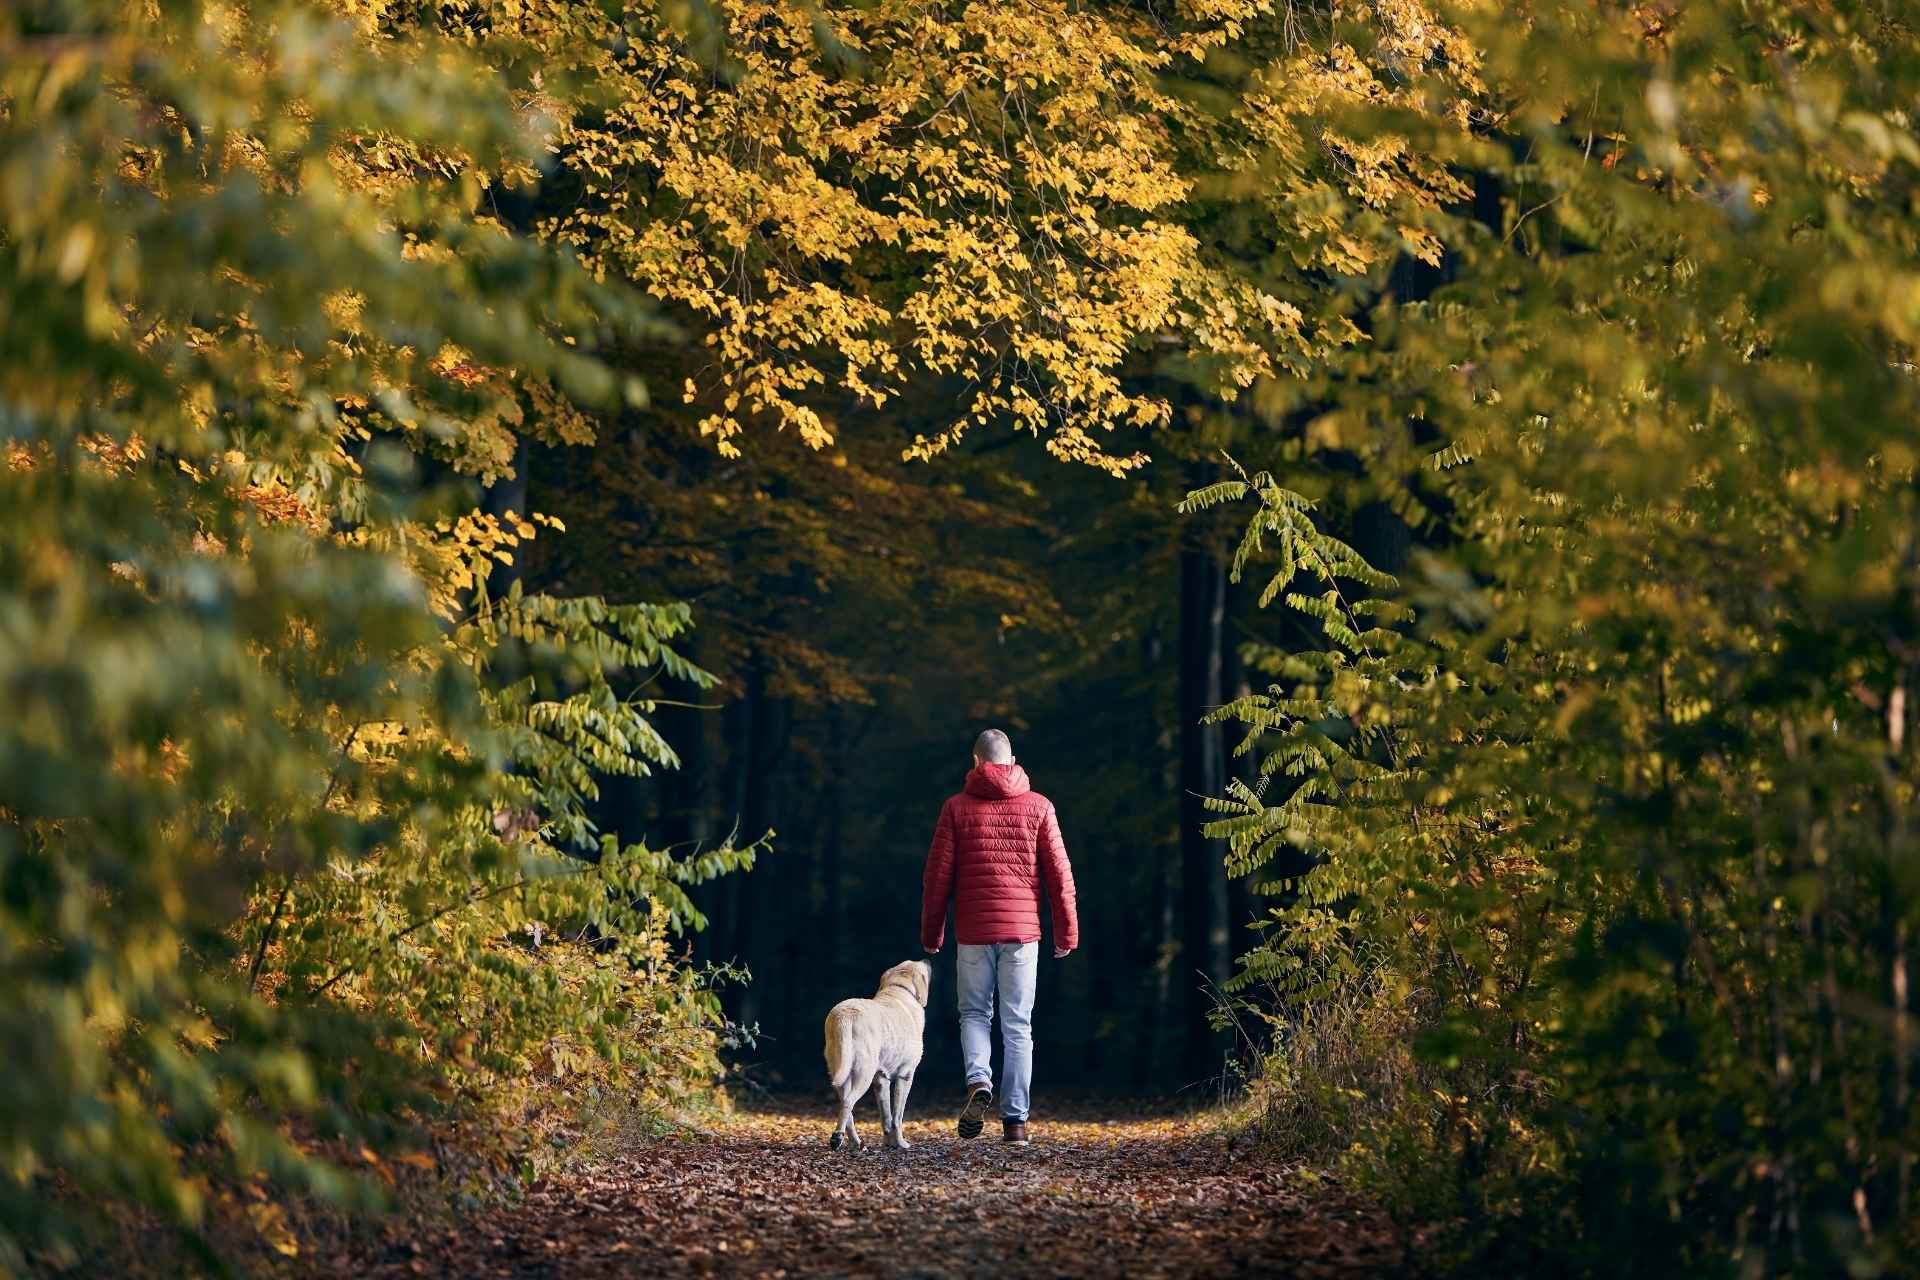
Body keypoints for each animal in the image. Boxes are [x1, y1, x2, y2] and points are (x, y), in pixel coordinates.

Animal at [825, 959, 929, 1151]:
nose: (927, 960)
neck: (898, 988)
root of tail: (845, 1016)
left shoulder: (881, 1079)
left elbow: (886, 1117)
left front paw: (889, 1143)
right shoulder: (906, 1076)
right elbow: (897, 1117)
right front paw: (901, 1144)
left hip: (841, 1072)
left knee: (846, 1107)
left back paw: (856, 1142)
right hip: (863, 1074)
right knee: (848, 1102)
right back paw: (837, 1138)